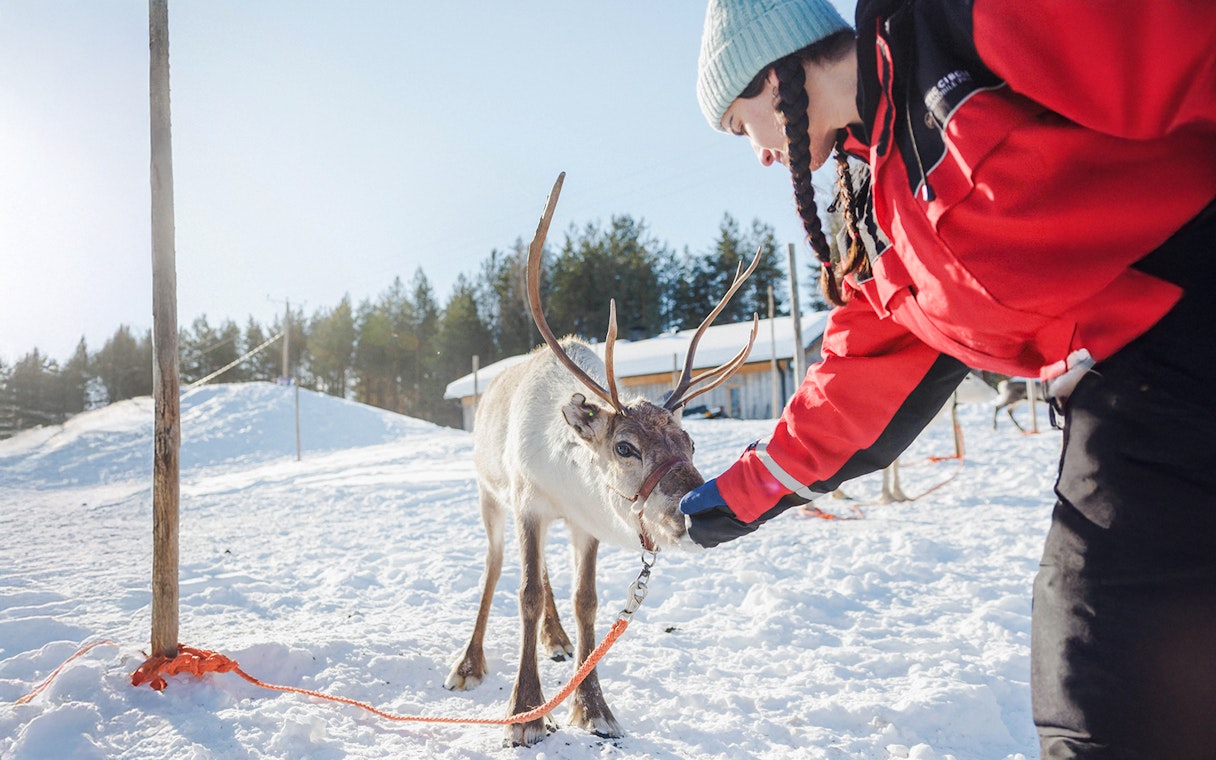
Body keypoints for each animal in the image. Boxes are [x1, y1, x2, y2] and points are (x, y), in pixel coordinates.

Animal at [443, 173, 759, 747]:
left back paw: (556, 639)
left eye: (691, 442)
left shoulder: (583, 523)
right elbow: (524, 592)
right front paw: (525, 713)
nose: (693, 509)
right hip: (488, 495)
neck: (562, 479)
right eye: (624, 446)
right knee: (494, 568)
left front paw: (592, 709)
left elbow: (584, 600)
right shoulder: (527, 504)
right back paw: (469, 663)